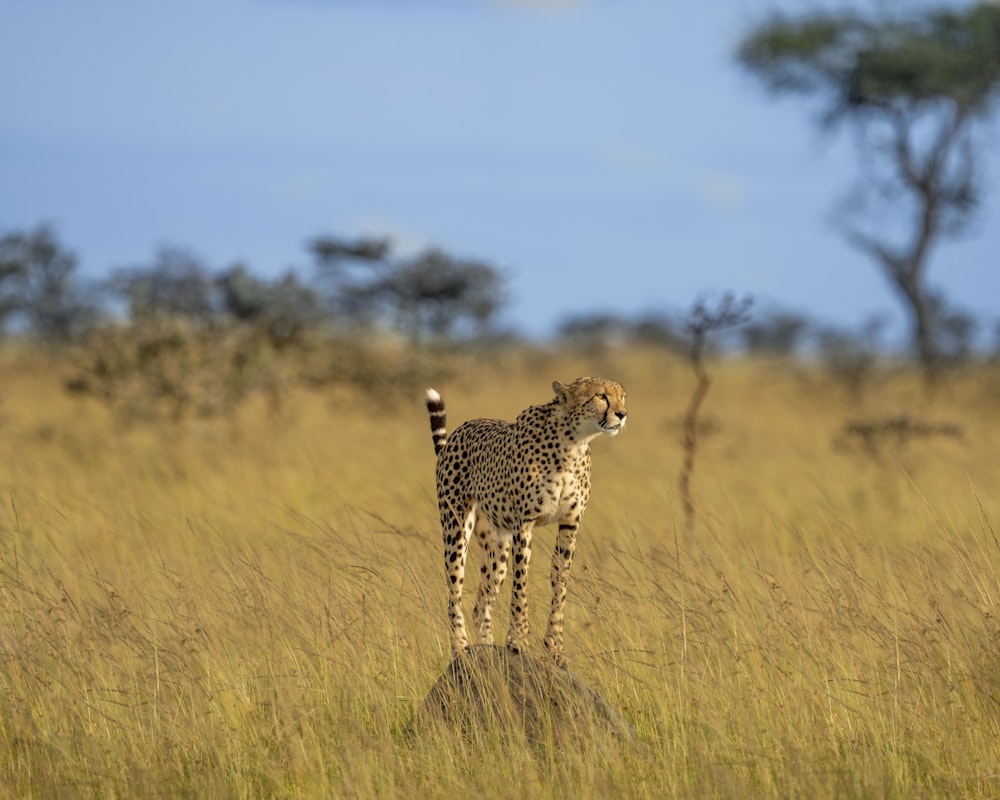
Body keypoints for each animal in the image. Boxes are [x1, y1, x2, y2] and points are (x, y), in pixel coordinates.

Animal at [422, 378, 624, 664]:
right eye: (601, 397)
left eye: (622, 396)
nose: (622, 414)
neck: (572, 444)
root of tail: (458, 432)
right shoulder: (524, 524)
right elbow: (521, 586)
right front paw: (517, 641)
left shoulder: (570, 524)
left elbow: (560, 585)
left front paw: (555, 647)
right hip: (456, 529)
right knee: (454, 595)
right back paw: (460, 649)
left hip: (497, 548)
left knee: (481, 604)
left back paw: (488, 649)